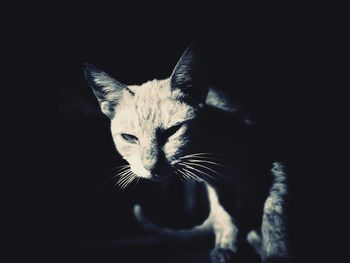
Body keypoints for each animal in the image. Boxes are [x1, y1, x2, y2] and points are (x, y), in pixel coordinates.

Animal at [83, 43, 292, 263]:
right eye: (129, 138)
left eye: (172, 131)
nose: (151, 166)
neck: (213, 154)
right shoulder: (219, 187)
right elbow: (225, 215)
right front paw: (226, 246)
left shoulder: (277, 163)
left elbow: (274, 213)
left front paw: (276, 254)